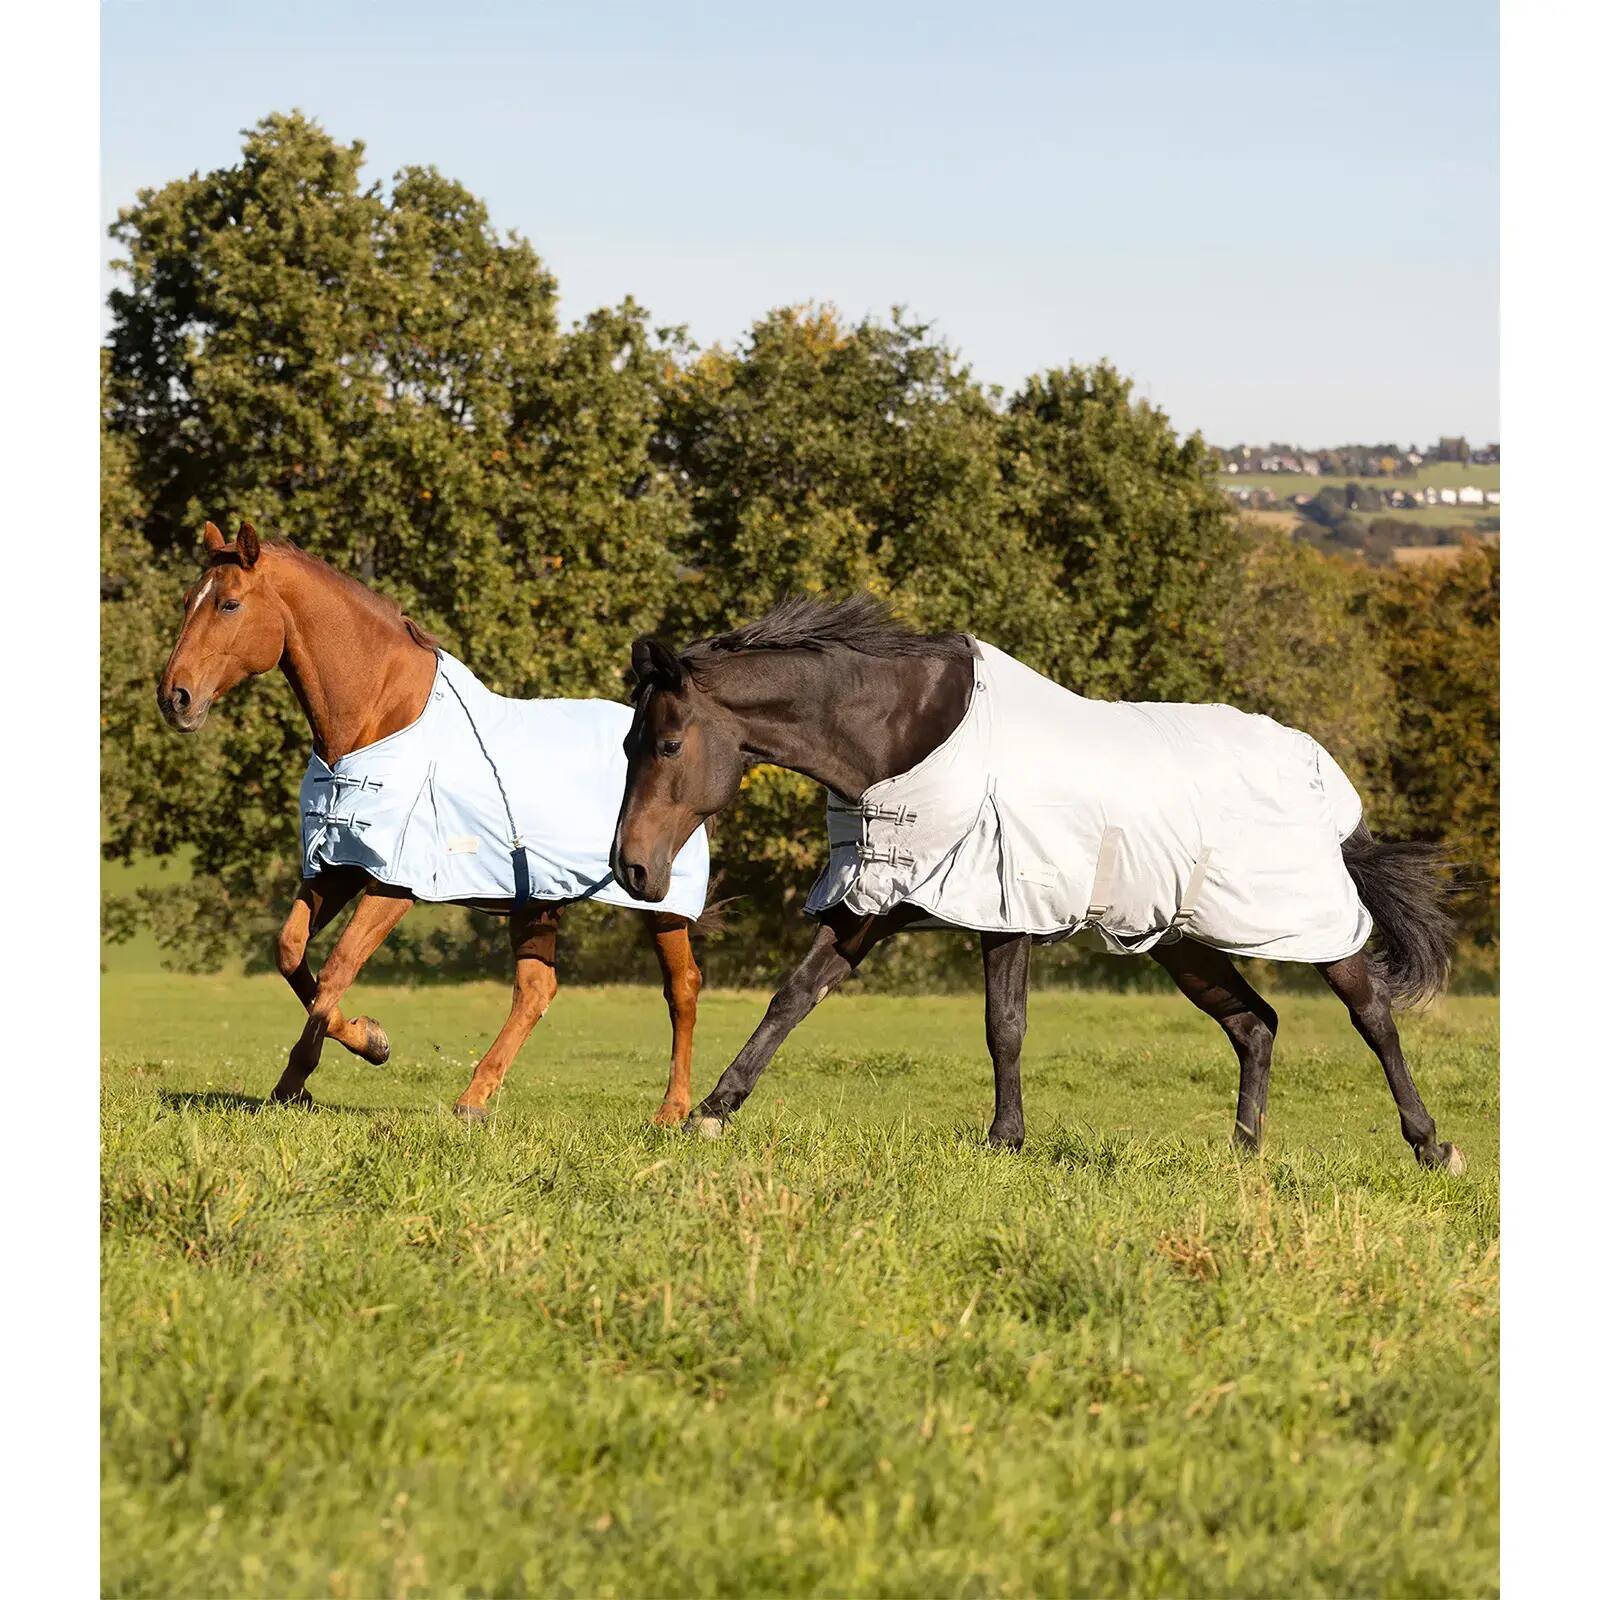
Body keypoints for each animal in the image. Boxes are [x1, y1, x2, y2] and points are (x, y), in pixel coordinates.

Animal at [155, 519, 706, 1125]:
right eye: (188, 600)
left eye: (229, 603)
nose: (174, 698)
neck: (379, 719)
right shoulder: (340, 865)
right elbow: (291, 951)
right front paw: (363, 1044)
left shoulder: (394, 882)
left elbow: (339, 967)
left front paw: (308, 1074)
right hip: (536, 900)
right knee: (536, 990)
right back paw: (473, 1100)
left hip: (660, 901)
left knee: (682, 988)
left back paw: (674, 1110)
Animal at [609, 594, 1465, 1172]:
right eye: (626, 743)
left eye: (668, 743)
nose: (632, 867)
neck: (908, 736)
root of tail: (1327, 785)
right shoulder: (877, 903)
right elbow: (793, 997)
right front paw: (711, 1114)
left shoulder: (1004, 908)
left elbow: (1005, 1026)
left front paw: (1004, 1139)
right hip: (1181, 941)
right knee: (1254, 1023)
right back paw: (1244, 1155)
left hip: (1312, 928)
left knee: (1372, 1015)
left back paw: (1431, 1147)